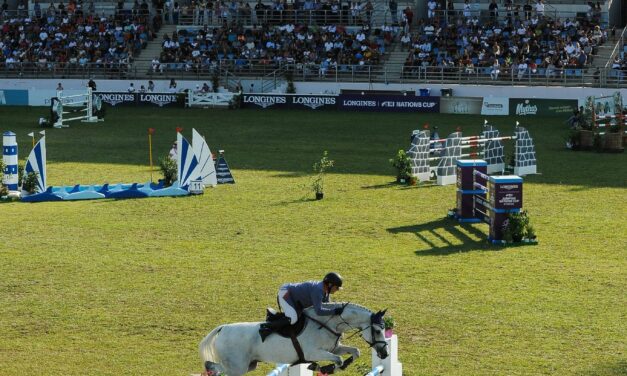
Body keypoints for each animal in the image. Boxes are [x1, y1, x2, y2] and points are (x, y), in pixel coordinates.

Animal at [199, 302, 390, 376]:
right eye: (378, 330)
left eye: (383, 330)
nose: (385, 353)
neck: (328, 324)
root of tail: (223, 328)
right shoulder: (314, 353)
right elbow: (338, 359)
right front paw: (326, 368)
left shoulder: (333, 348)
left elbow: (354, 352)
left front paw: (339, 365)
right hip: (237, 367)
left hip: (247, 365)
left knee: (214, 366)